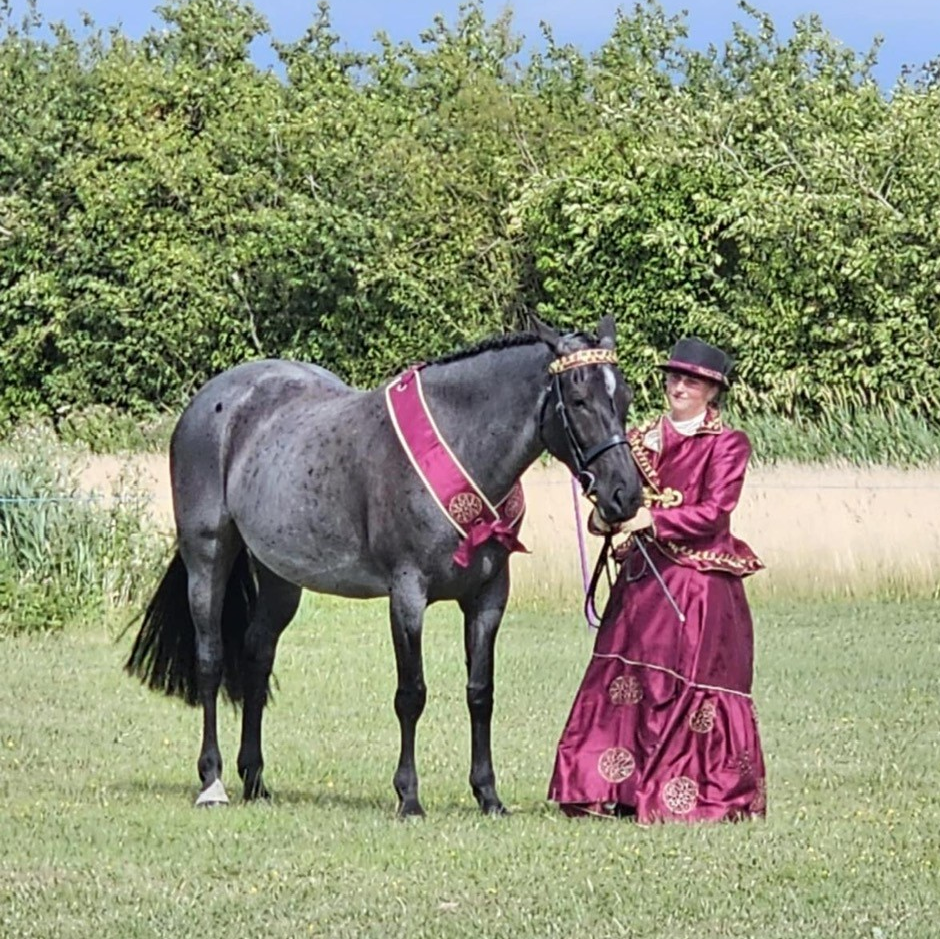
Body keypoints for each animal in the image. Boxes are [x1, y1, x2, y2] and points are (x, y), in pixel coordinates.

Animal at [125, 315, 643, 815]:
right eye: (578, 399)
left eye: (624, 397)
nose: (625, 495)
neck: (460, 443)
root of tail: (210, 401)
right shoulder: (408, 594)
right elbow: (411, 694)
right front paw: (408, 797)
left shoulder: (488, 598)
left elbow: (480, 692)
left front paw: (488, 795)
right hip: (208, 555)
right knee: (211, 659)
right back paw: (212, 782)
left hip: (279, 576)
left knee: (257, 654)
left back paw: (255, 780)